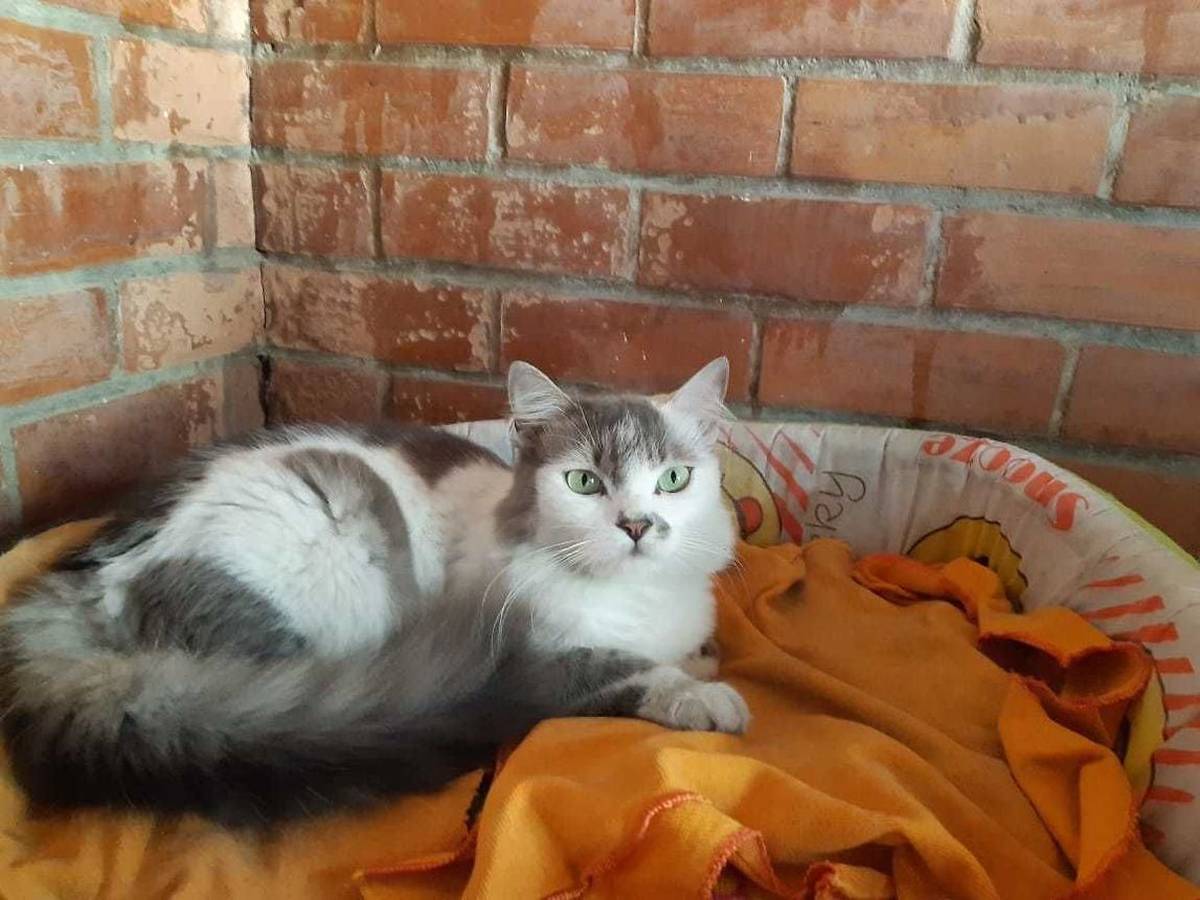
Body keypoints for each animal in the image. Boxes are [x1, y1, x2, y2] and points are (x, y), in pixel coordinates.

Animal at [0, 358, 747, 826]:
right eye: (584, 483)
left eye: (674, 479)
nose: (637, 525)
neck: (638, 600)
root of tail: (88, 577)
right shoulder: (538, 654)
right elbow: (632, 669)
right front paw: (707, 697)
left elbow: (687, 649)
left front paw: (701, 660)